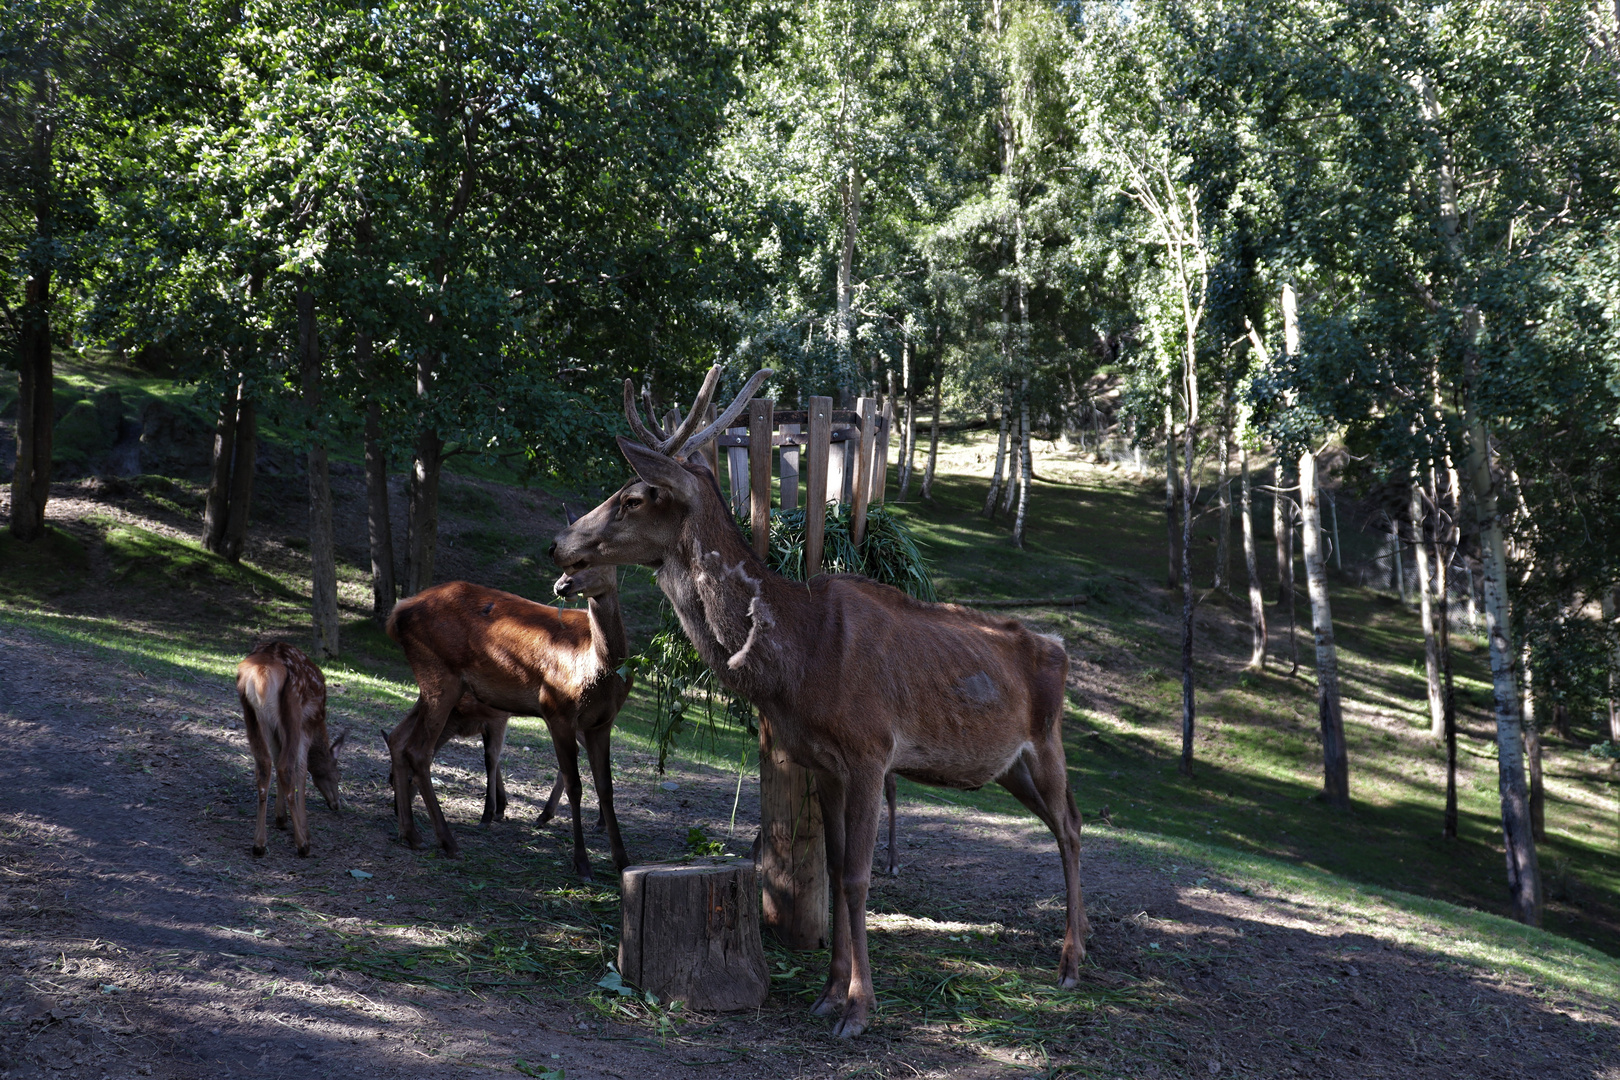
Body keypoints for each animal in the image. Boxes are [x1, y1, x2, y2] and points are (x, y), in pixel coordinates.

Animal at [234, 641, 345, 861]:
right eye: (338, 776)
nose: (336, 804)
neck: (320, 727)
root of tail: (263, 672)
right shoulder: (307, 724)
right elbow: (301, 770)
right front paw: (304, 830)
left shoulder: (275, 730)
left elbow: (276, 760)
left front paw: (281, 818)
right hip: (293, 709)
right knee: (286, 768)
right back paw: (302, 844)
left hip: (254, 716)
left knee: (264, 766)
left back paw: (259, 843)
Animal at [382, 566, 628, 880]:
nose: (563, 585)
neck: (599, 668)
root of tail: (397, 612)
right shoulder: (556, 709)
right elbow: (575, 786)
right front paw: (582, 864)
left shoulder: (602, 722)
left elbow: (605, 787)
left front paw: (622, 860)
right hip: (439, 673)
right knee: (418, 750)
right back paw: (447, 841)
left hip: (438, 686)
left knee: (398, 738)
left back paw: (411, 834)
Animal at [550, 369, 1082, 1036]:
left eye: (633, 497)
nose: (558, 544)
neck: (798, 660)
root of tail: (1062, 651)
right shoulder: (823, 762)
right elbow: (830, 867)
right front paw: (827, 994)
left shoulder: (871, 751)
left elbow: (855, 877)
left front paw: (859, 1009)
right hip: (1007, 767)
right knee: (1069, 823)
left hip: (1047, 743)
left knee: (1071, 829)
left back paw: (1071, 964)